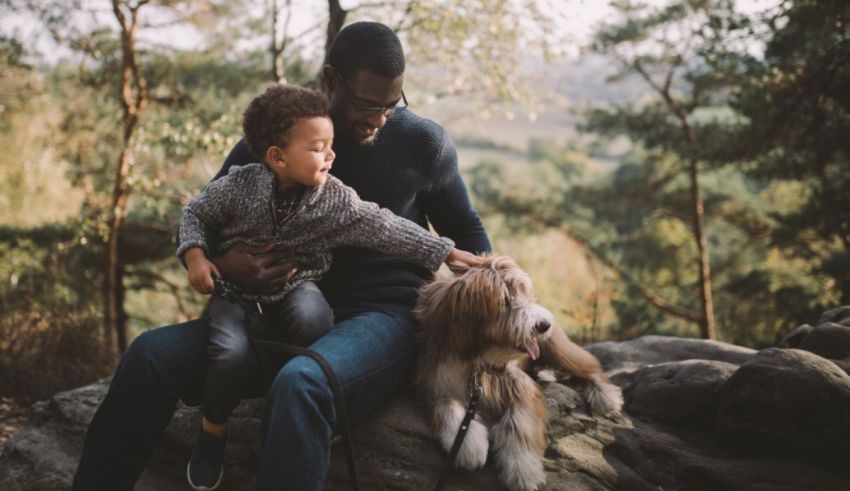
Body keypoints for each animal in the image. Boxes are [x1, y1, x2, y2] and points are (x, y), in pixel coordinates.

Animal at [412, 256, 620, 490]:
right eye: (504, 301)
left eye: (524, 292)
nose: (543, 325)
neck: (476, 354)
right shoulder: (434, 379)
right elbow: (448, 405)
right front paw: (468, 445)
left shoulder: (519, 383)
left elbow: (520, 420)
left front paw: (523, 468)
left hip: (557, 347)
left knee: (588, 365)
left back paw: (605, 394)